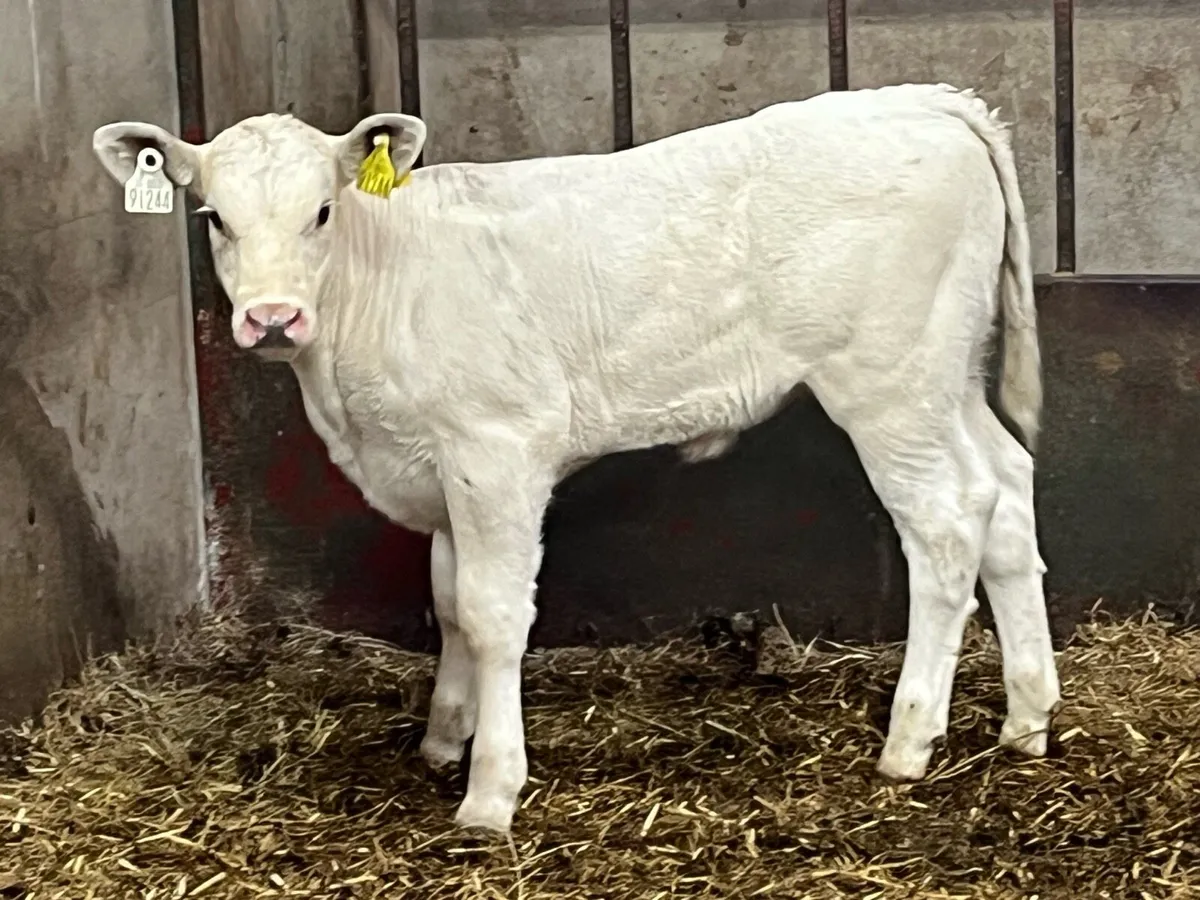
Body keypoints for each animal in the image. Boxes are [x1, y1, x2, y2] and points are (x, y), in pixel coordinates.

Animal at [93, 82, 1062, 833]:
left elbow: (492, 615)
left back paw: (910, 739)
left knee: (946, 525)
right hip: (946, 375)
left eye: (322, 212)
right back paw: (1028, 717)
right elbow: (449, 602)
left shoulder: (495, 450)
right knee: (1006, 491)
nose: (272, 319)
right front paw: (444, 737)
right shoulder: (442, 467)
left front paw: (490, 791)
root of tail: (927, 101)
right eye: (214, 217)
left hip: (888, 383)